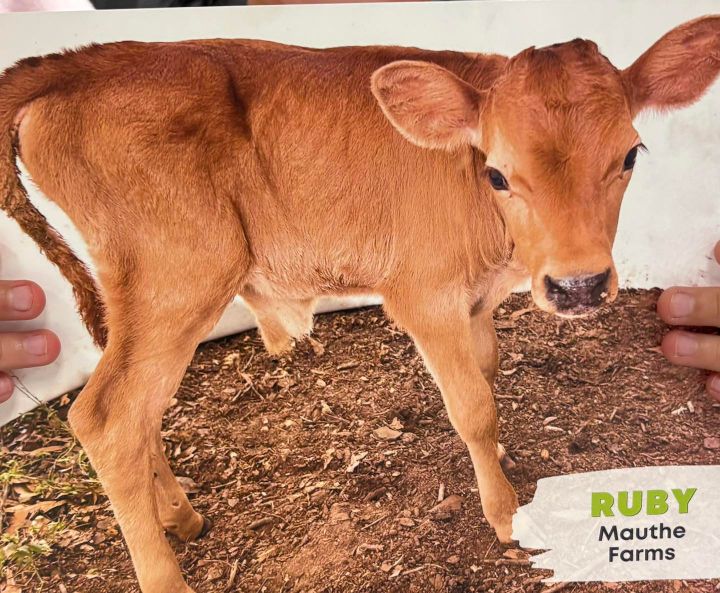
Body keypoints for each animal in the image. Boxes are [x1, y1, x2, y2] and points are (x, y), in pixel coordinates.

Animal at [1, 15, 718, 593]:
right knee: (107, 417)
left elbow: (487, 375)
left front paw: (505, 462)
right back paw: (165, 574)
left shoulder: (476, 301)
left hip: (145, 298)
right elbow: (474, 407)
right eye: (497, 172)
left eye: (630, 155)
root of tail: (83, 60)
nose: (578, 286)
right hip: (177, 278)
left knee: (140, 408)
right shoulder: (424, 296)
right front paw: (505, 513)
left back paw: (180, 515)